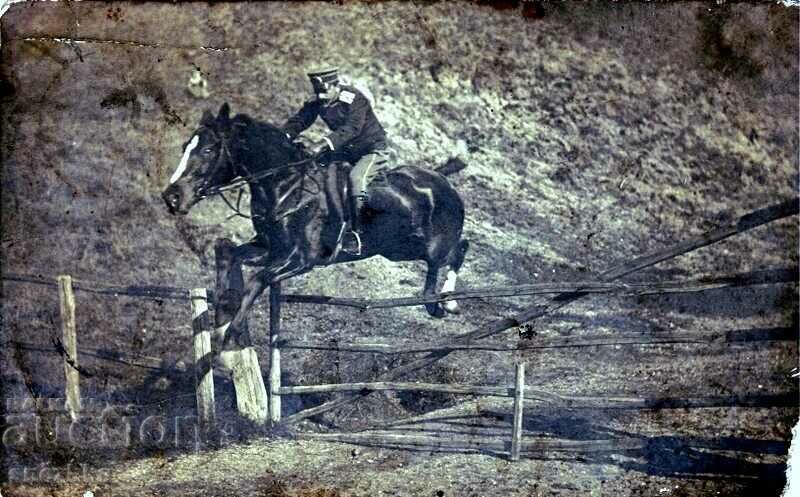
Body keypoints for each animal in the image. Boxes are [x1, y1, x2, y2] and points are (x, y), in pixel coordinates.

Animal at [161, 104, 468, 342]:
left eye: (209, 150)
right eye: (185, 147)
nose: (171, 197)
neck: (284, 185)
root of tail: (442, 180)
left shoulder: (301, 260)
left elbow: (258, 279)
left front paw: (229, 333)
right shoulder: (270, 248)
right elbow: (229, 255)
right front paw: (221, 319)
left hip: (432, 245)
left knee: (451, 254)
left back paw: (446, 303)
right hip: (397, 249)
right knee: (455, 250)